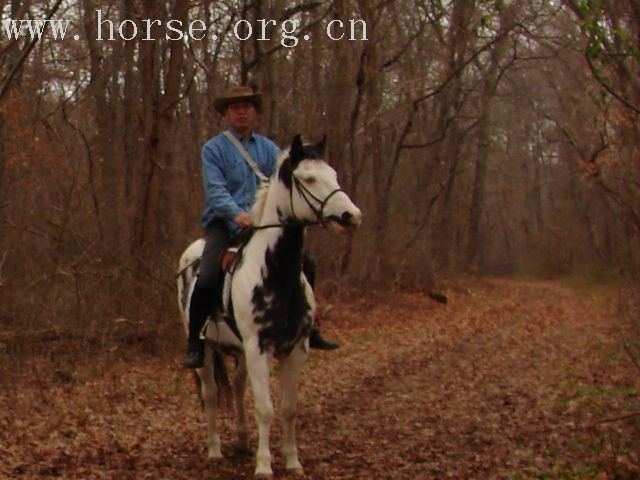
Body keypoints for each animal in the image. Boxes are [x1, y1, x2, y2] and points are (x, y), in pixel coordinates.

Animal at [178, 135, 362, 476]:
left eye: (333, 174)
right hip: (207, 349)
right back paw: (215, 450)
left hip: (239, 351)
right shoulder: (258, 347)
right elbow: (265, 409)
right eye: (308, 179)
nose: (351, 215)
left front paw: (292, 461)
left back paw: (242, 440)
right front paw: (264, 466)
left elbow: (289, 408)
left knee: (238, 386)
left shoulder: (296, 348)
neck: (275, 274)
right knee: (211, 395)